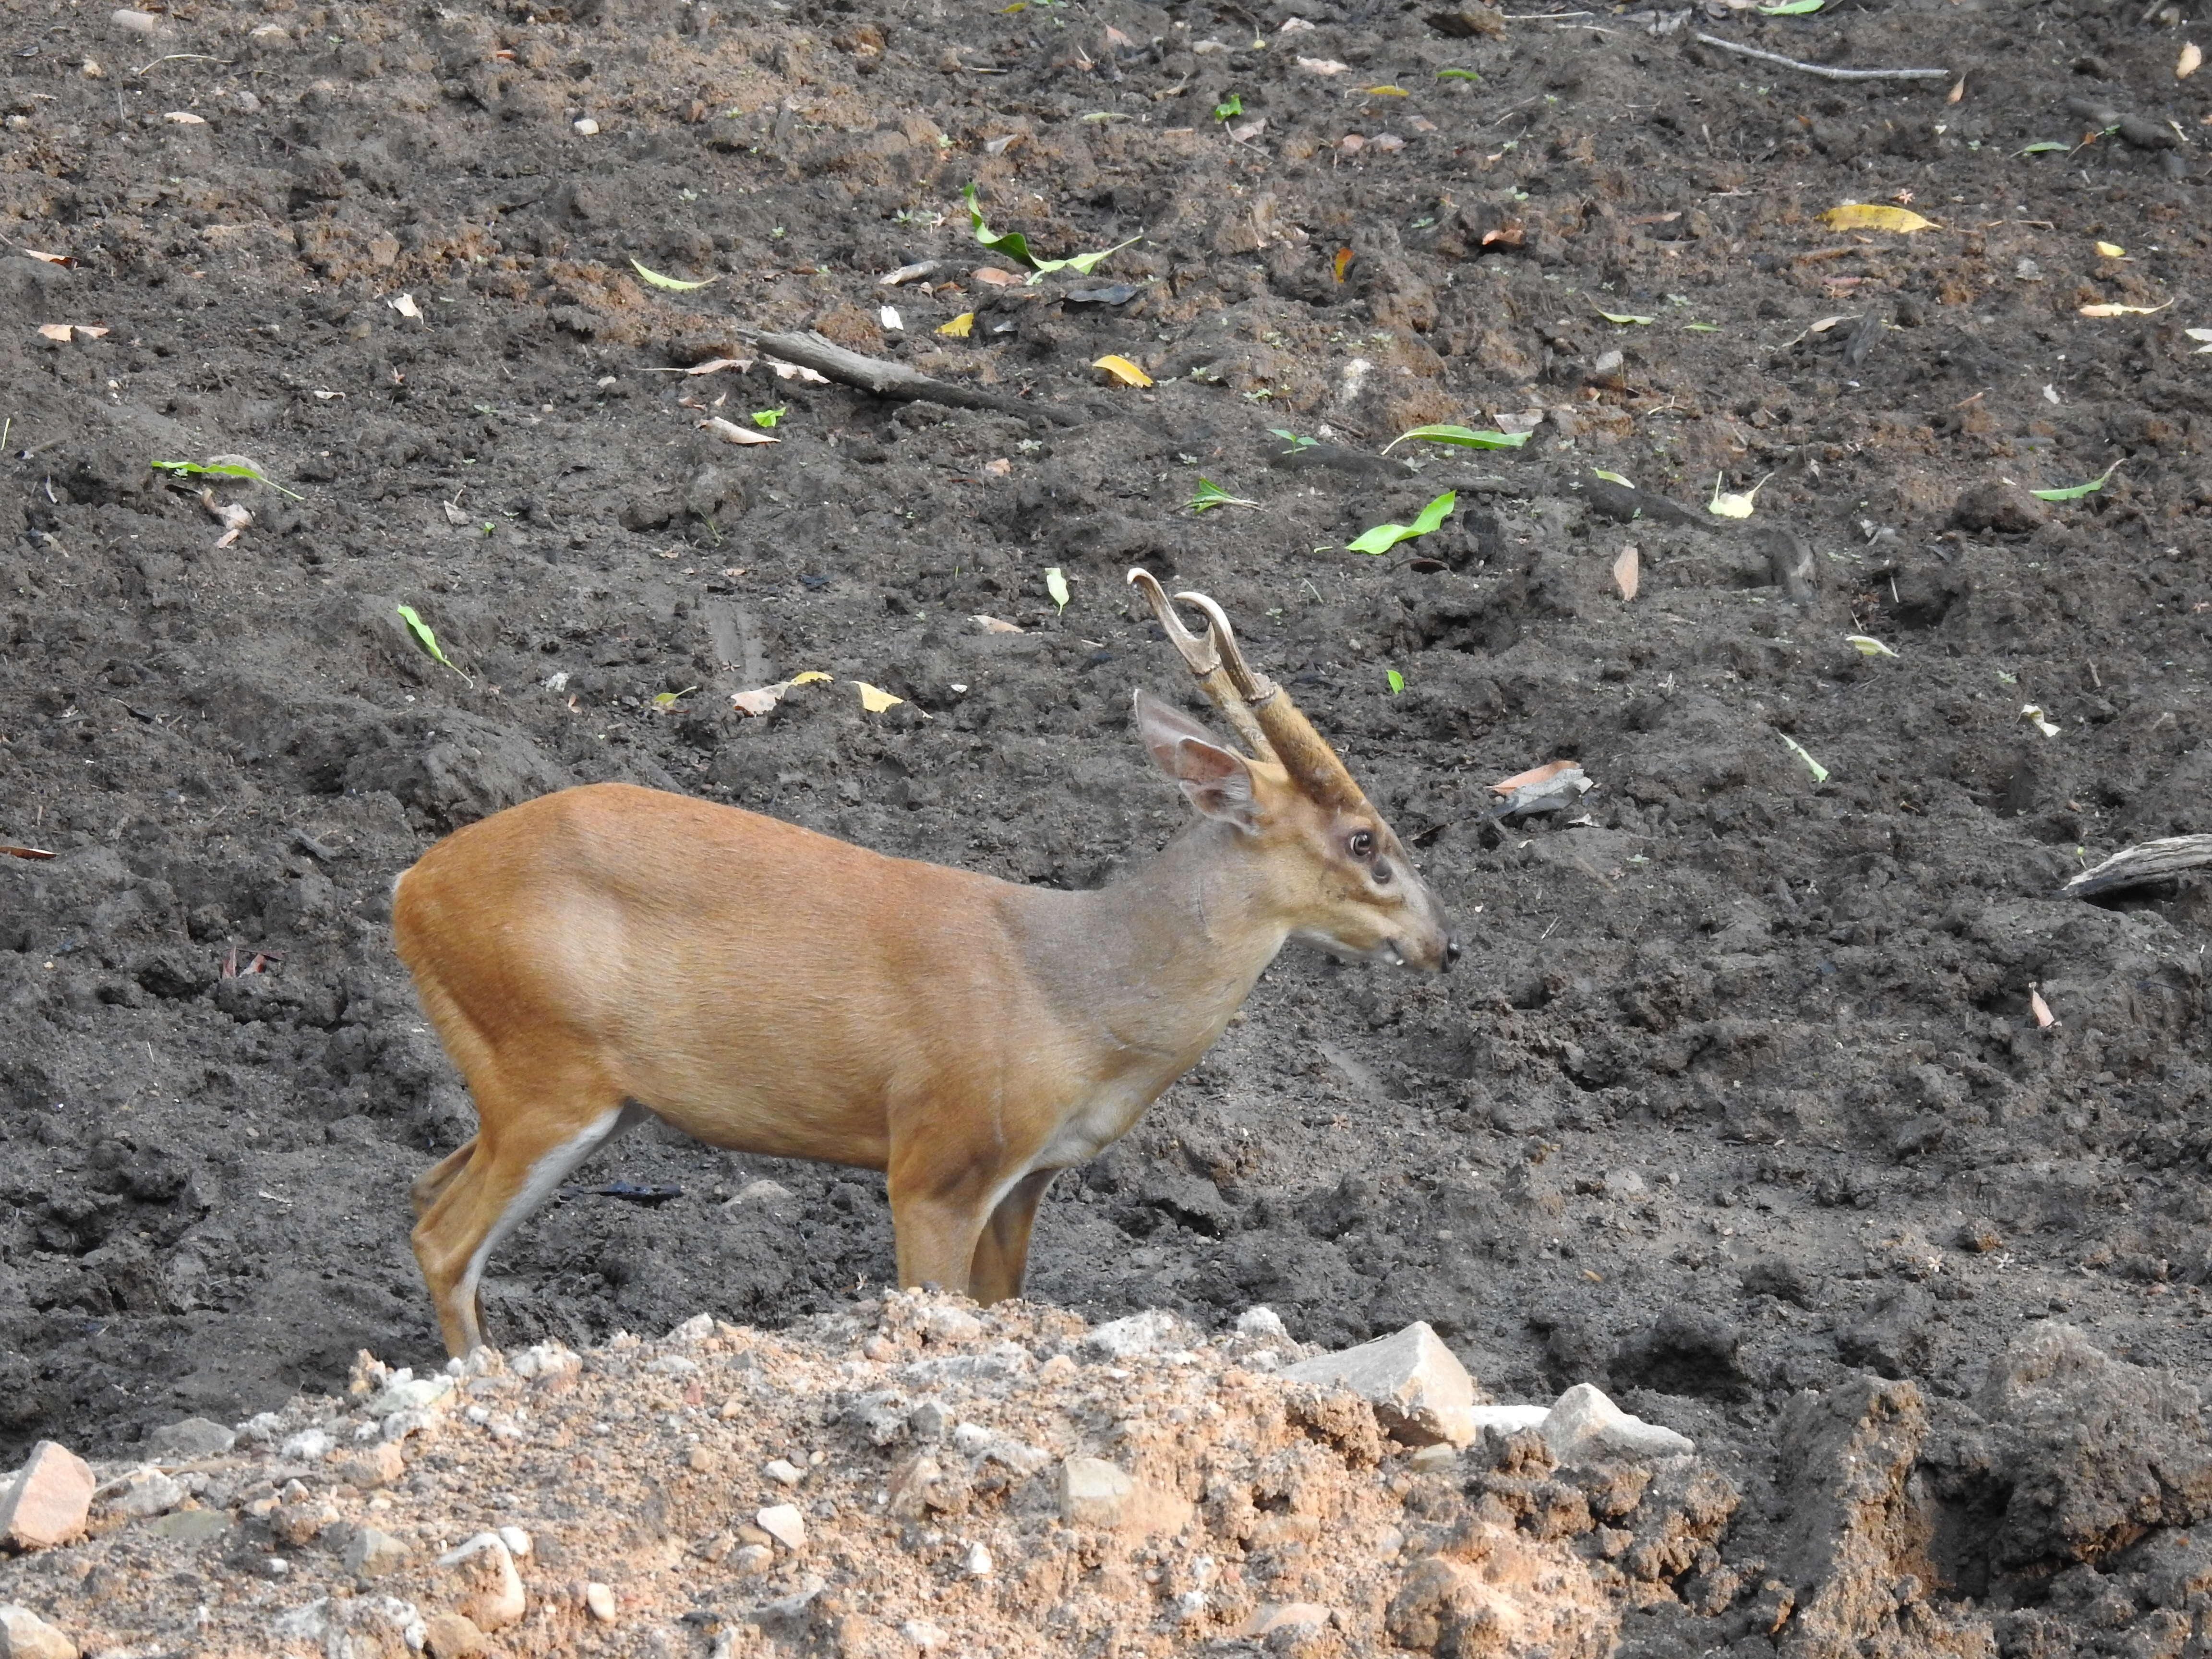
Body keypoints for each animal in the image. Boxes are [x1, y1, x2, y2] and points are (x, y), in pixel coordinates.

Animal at [396, 579, 1451, 1354]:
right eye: (1366, 841)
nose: (1443, 944)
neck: (1079, 998)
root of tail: (411, 888)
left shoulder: (1027, 1175)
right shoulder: (939, 1154)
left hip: (569, 1090)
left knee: (426, 1190)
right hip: (544, 1064)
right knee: (443, 1240)